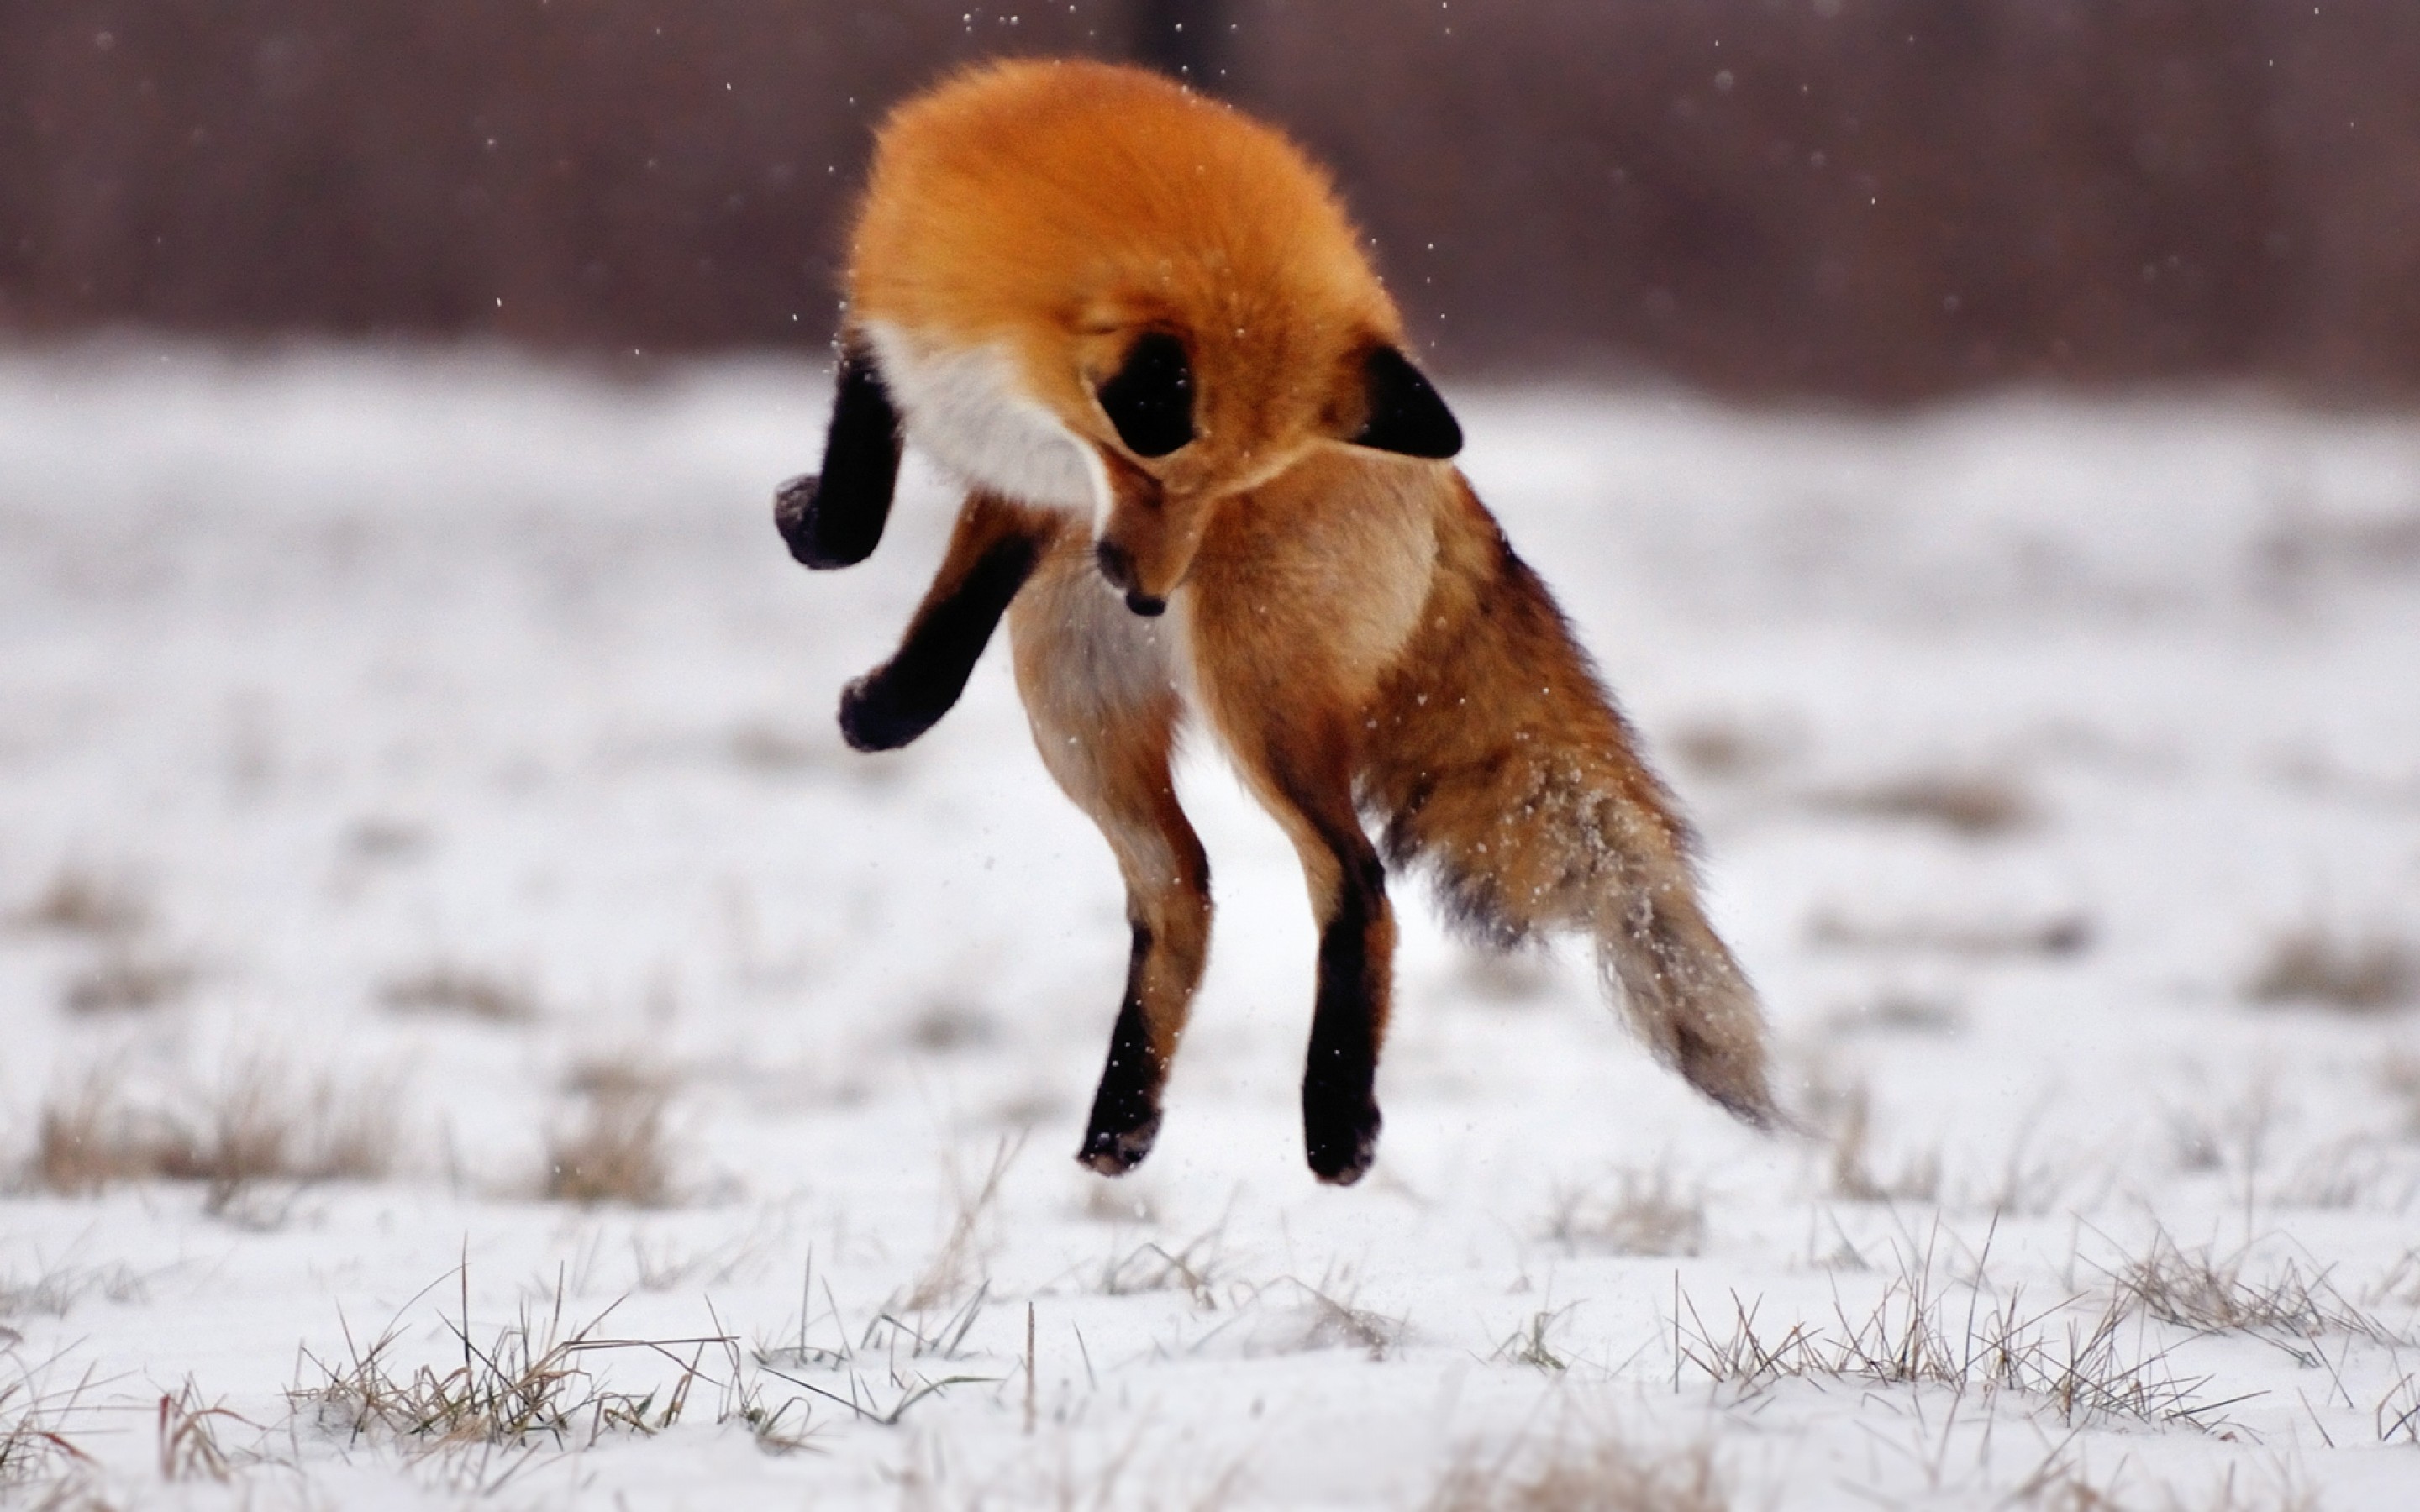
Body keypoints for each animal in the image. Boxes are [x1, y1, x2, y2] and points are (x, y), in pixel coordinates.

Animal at [775, 59, 1775, 1185]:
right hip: (1075, 708)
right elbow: (919, 600)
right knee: (1184, 889)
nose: (1144, 594)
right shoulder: (959, 399)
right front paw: (882, 696)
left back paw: (1335, 1121)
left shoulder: (1006, 448)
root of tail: (1450, 480)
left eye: (1224, 488)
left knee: (1357, 880)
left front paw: (821, 565)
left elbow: (865, 533)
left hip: (1252, 699)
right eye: (1156, 473)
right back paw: (1123, 1123)